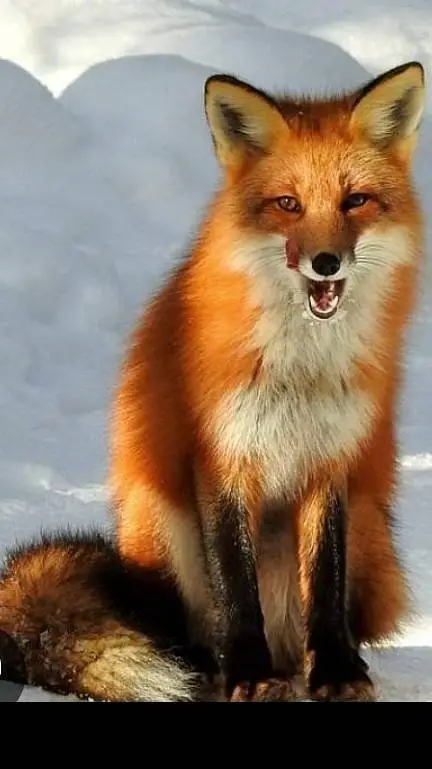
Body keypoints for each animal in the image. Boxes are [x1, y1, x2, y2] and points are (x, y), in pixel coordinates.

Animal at [0, 60, 427, 702]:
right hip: (162, 518)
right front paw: (248, 674)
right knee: (186, 629)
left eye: (355, 201)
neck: (299, 369)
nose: (325, 262)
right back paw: (210, 667)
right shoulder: (223, 456)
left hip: (369, 527)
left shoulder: (330, 462)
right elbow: (234, 580)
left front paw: (335, 671)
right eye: (288, 204)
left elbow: (324, 584)